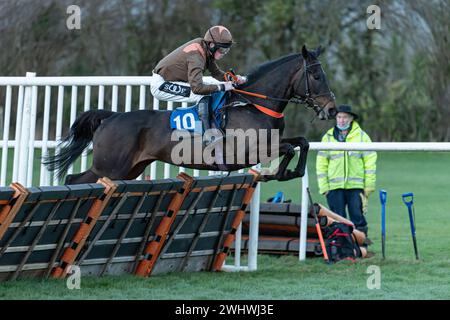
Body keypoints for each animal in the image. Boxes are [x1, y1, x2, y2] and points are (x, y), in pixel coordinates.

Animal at [44, 45, 336, 185]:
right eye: (316, 75)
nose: (332, 108)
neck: (253, 105)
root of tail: (111, 117)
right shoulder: (247, 151)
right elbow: (288, 148)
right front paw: (278, 173)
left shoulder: (270, 142)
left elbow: (302, 143)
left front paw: (287, 173)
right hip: (110, 167)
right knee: (74, 179)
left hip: (128, 169)